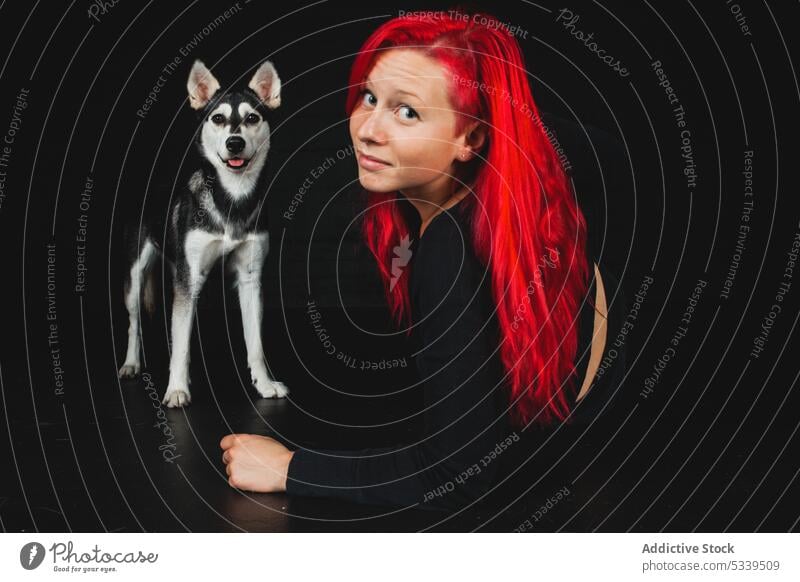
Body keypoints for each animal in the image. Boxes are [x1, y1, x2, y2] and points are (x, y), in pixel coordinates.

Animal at [120, 57, 290, 408]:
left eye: (252, 118)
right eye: (218, 118)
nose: (234, 143)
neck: (231, 200)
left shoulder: (250, 278)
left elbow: (255, 344)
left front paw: (264, 384)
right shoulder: (188, 278)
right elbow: (179, 341)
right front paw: (175, 390)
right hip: (136, 275)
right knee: (134, 323)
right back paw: (131, 363)